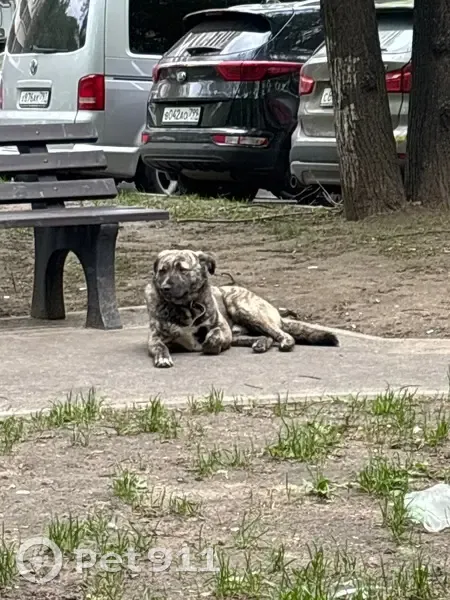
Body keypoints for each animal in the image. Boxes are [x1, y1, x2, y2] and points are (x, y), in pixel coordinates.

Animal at [145, 249, 339, 368]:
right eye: (162, 270)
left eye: (182, 270)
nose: (165, 288)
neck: (186, 307)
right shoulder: (155, 338)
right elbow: (161, 347)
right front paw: (163, 357)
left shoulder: (222, 329)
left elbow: (213, 338)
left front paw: (209, 343)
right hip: (239, 333)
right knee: (267, 336)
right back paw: (261, 343)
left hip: (242, 308)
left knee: (283, 335)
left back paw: (282, 342)